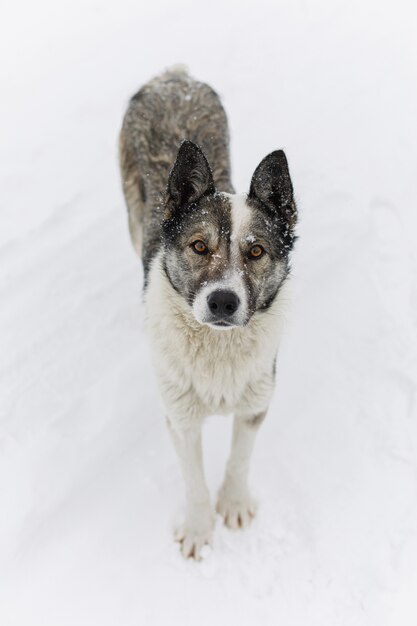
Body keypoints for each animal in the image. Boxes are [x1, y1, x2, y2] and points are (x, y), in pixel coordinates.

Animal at [118, 67, 298, 556]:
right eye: (200, 247)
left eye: (255, 252)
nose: (223, 301)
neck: (218, 350)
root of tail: (171, 78)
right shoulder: (180, 419)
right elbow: (194, 480)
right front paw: (199, 530)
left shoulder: (256, 402)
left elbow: (239, 458)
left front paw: (233, 505)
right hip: (133, 216)